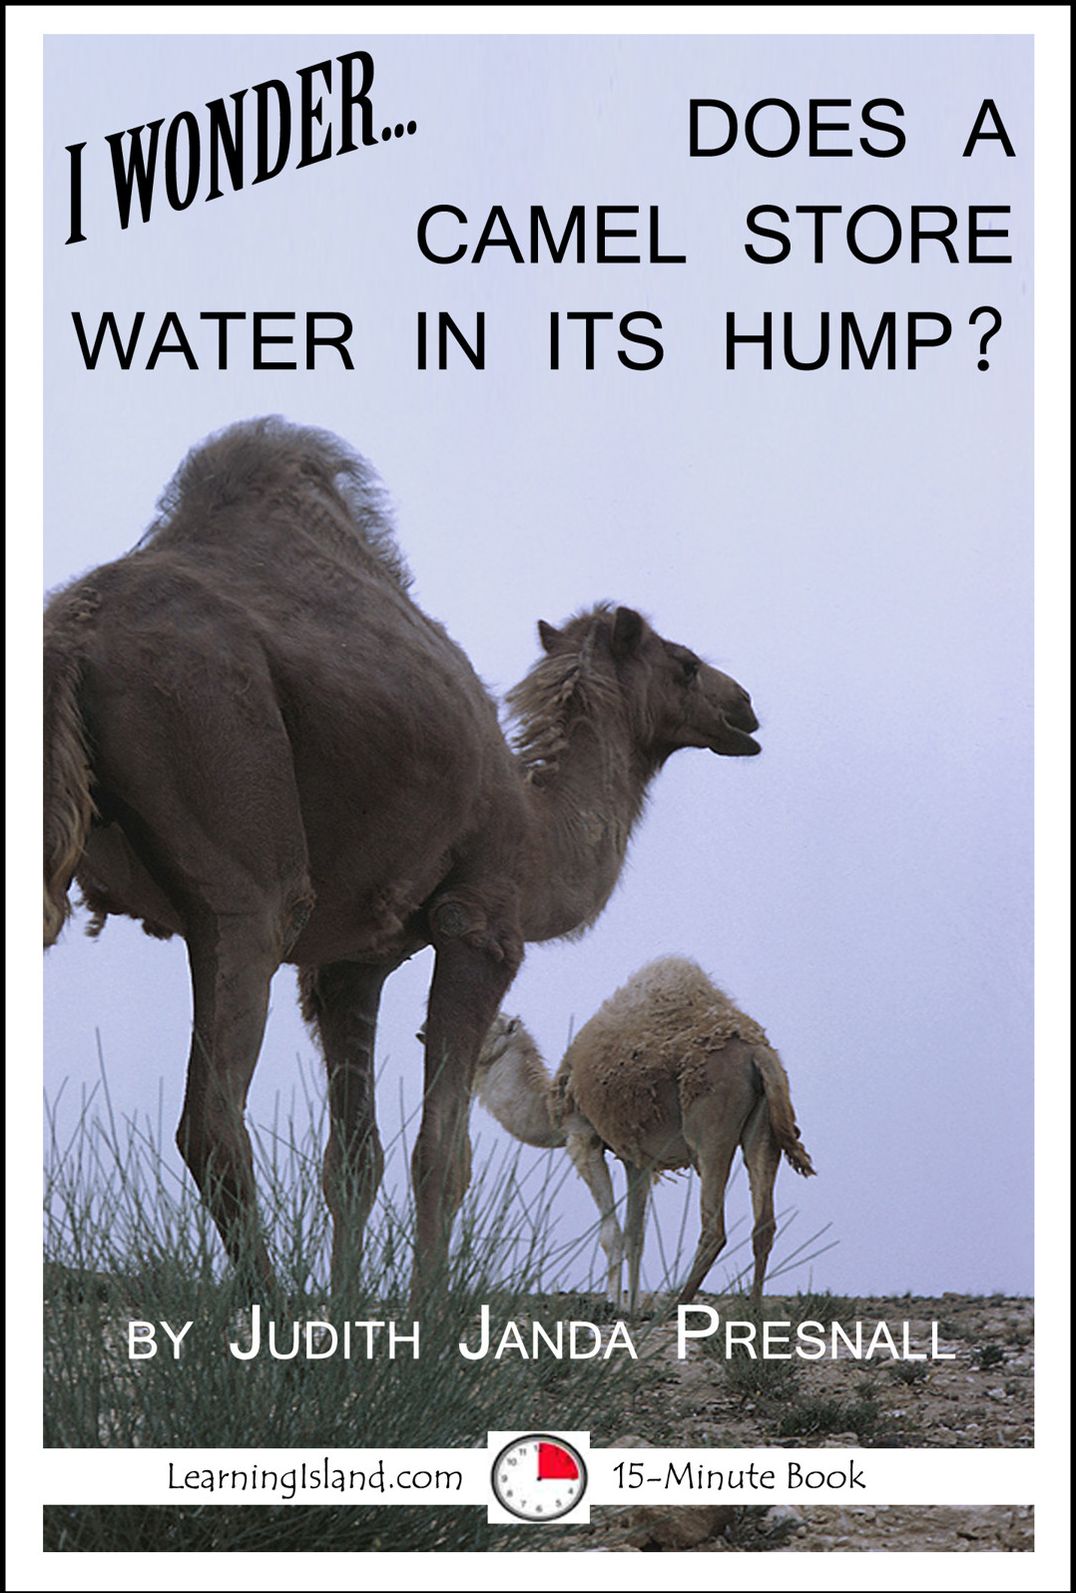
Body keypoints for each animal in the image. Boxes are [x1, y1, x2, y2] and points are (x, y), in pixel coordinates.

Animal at [43, 417, 761, 1300]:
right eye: (684, 663)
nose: (743, 707)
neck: (537, 829)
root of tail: (73, 627)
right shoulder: (479, 923)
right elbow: (441, 1157)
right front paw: (428, 1312)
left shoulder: (349, 964)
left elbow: (354, 1160)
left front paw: (352, 1308)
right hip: (230, 796)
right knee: (211, 1112)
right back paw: (267, 1308)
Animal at [474, 957, 815, 1311]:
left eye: (488, 1019)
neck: (549, 1104)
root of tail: (759, 1055)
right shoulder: (636, 1158)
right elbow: (635, 1236)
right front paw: (632, 1306)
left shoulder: (582, 1137)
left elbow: (611, 1234)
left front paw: (613, 1304)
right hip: (764, 1129)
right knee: (764, 1223)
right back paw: (754, 1309)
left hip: (709, 1129)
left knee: (713, 1227)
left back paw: (678, 1307)